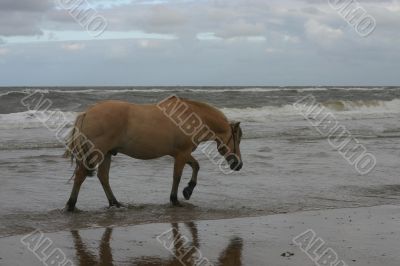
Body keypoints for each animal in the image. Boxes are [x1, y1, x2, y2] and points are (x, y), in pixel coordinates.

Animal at [65, 94, 244, 211]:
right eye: (238, 138)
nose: (239, 164)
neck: (191, 117)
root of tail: (88, 112)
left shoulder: (181, 154)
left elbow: (196, 166)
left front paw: (188, 190)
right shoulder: (182, 154)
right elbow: (177, 176)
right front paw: (175, 199)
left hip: (107, 154)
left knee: (103, 177)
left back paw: (115, 203)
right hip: (98, 152)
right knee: (81, 175)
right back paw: (71, 205)